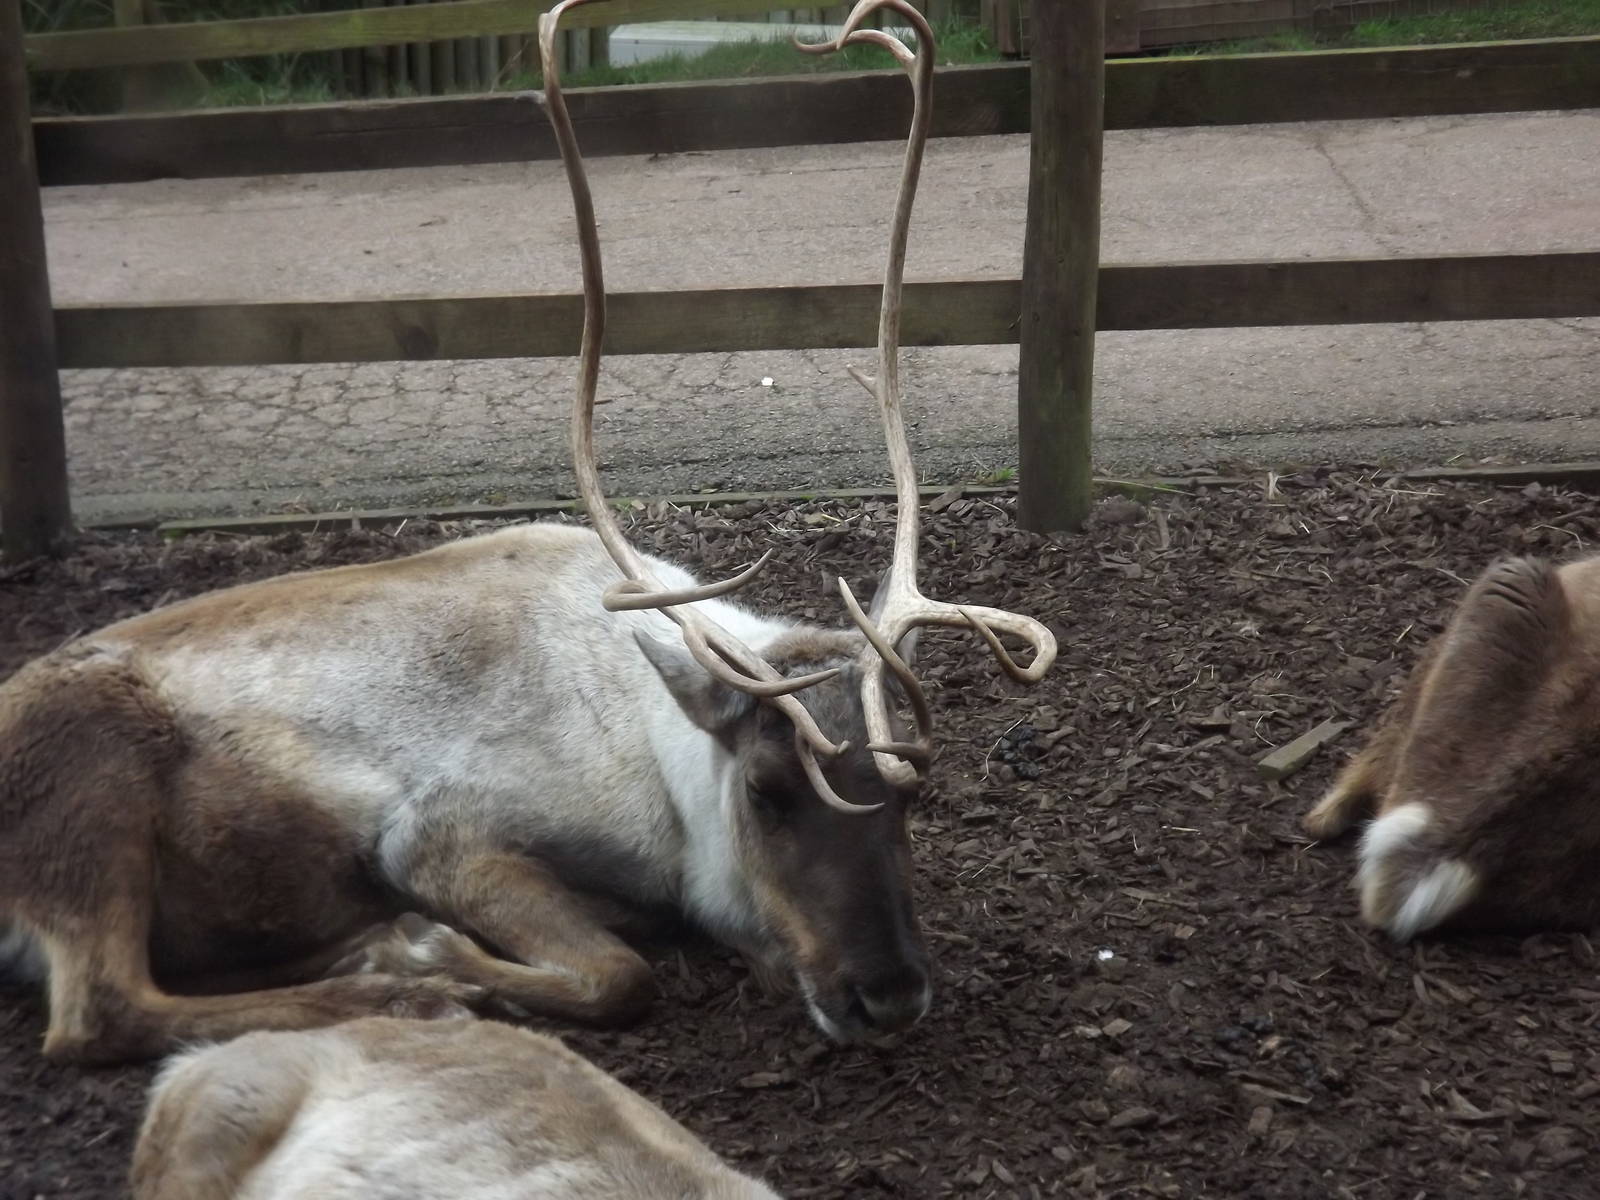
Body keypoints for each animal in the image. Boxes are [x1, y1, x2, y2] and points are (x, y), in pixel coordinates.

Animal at [0, 0, 1056, 1066]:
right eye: (768, 790)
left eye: (911, 794)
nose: (890, 994)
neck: (663, 767)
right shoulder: (436, 834)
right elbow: (618, 975)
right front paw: (424, 953)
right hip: (91, 782)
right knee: (97, 1011)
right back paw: (393, 990)